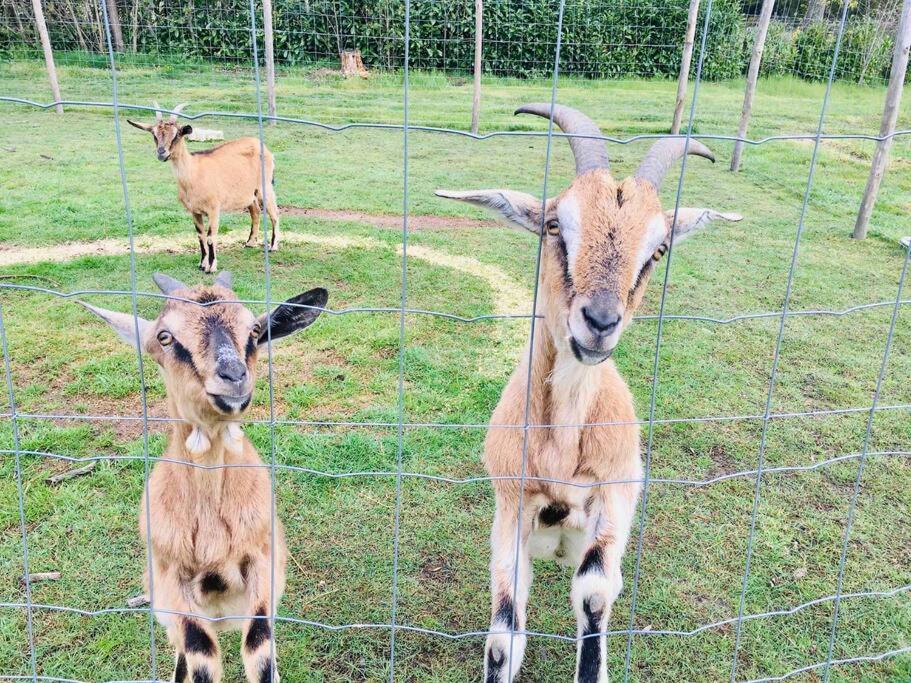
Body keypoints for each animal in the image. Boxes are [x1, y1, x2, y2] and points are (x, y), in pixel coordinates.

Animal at [82, 272, 330, 683]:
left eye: (255, 330)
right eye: (165, 336)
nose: (234, 377)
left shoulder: (262, 564)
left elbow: (260, 648)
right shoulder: (173, 583)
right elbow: (200, 655)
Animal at [126, 103, 280, 274]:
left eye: (176, 135)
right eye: (154, 134)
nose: (161, 153)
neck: (193, 175)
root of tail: (262, 145)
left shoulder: (214, 209)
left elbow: (211, 236)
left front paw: (211, 267)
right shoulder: (194, 211)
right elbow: (200, 236)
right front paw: (202, 264)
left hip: (265, 186)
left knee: (274, 212)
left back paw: (273, 246)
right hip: (248, 193)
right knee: (255, 211)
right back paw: (250, 242)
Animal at [438, 103, 744, 683]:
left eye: (658, 249)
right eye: (555, 225)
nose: (599, 323)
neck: (562, 443)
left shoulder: (618, 493)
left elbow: (595, 593)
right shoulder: (510, 504)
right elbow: (504, 629)